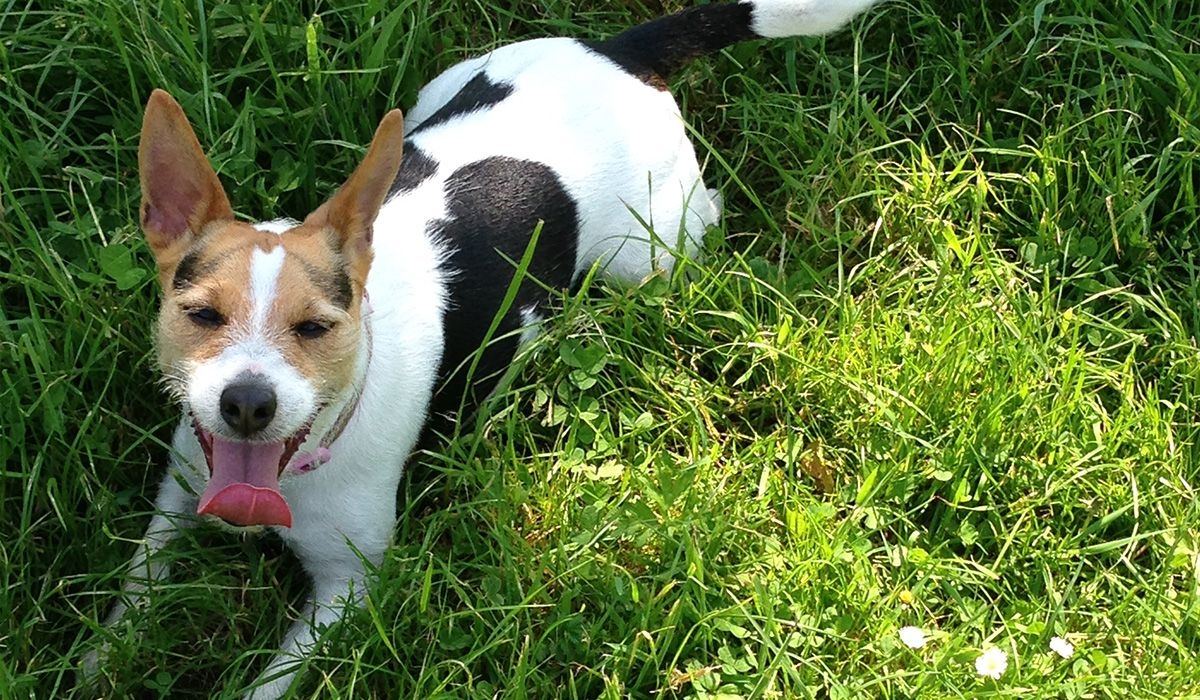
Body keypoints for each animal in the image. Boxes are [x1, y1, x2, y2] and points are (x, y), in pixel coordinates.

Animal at [88, 1, 883, 696]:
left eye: (316, 328)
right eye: (200, 314)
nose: (247, 404)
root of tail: (619, 54)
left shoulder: (348, 589)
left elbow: (269, 682)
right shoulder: (176, 501)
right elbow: (131, 595)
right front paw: (97, 661)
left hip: (655, 250)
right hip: (445, 87)